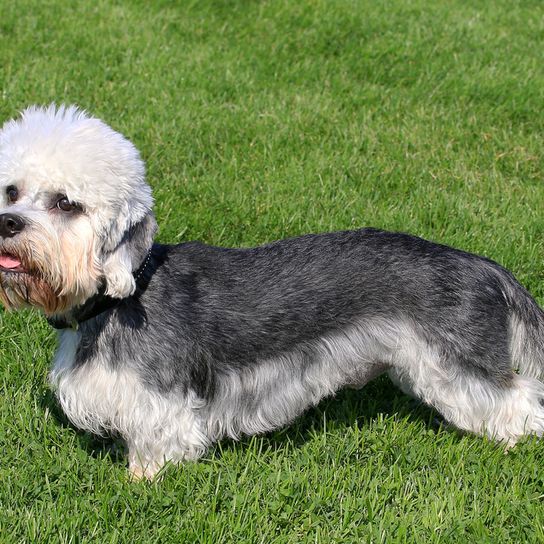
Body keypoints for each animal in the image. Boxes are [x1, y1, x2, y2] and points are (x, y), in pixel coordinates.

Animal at [0, 104, 540, 478]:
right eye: (12, 192)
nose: (7, 223)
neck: (122, 297)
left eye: (66, 204)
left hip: (460, 365)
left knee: (520, 401)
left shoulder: (161, 406)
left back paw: (515, 446)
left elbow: (155, 449)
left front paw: (139, 480)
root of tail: (485, 267)